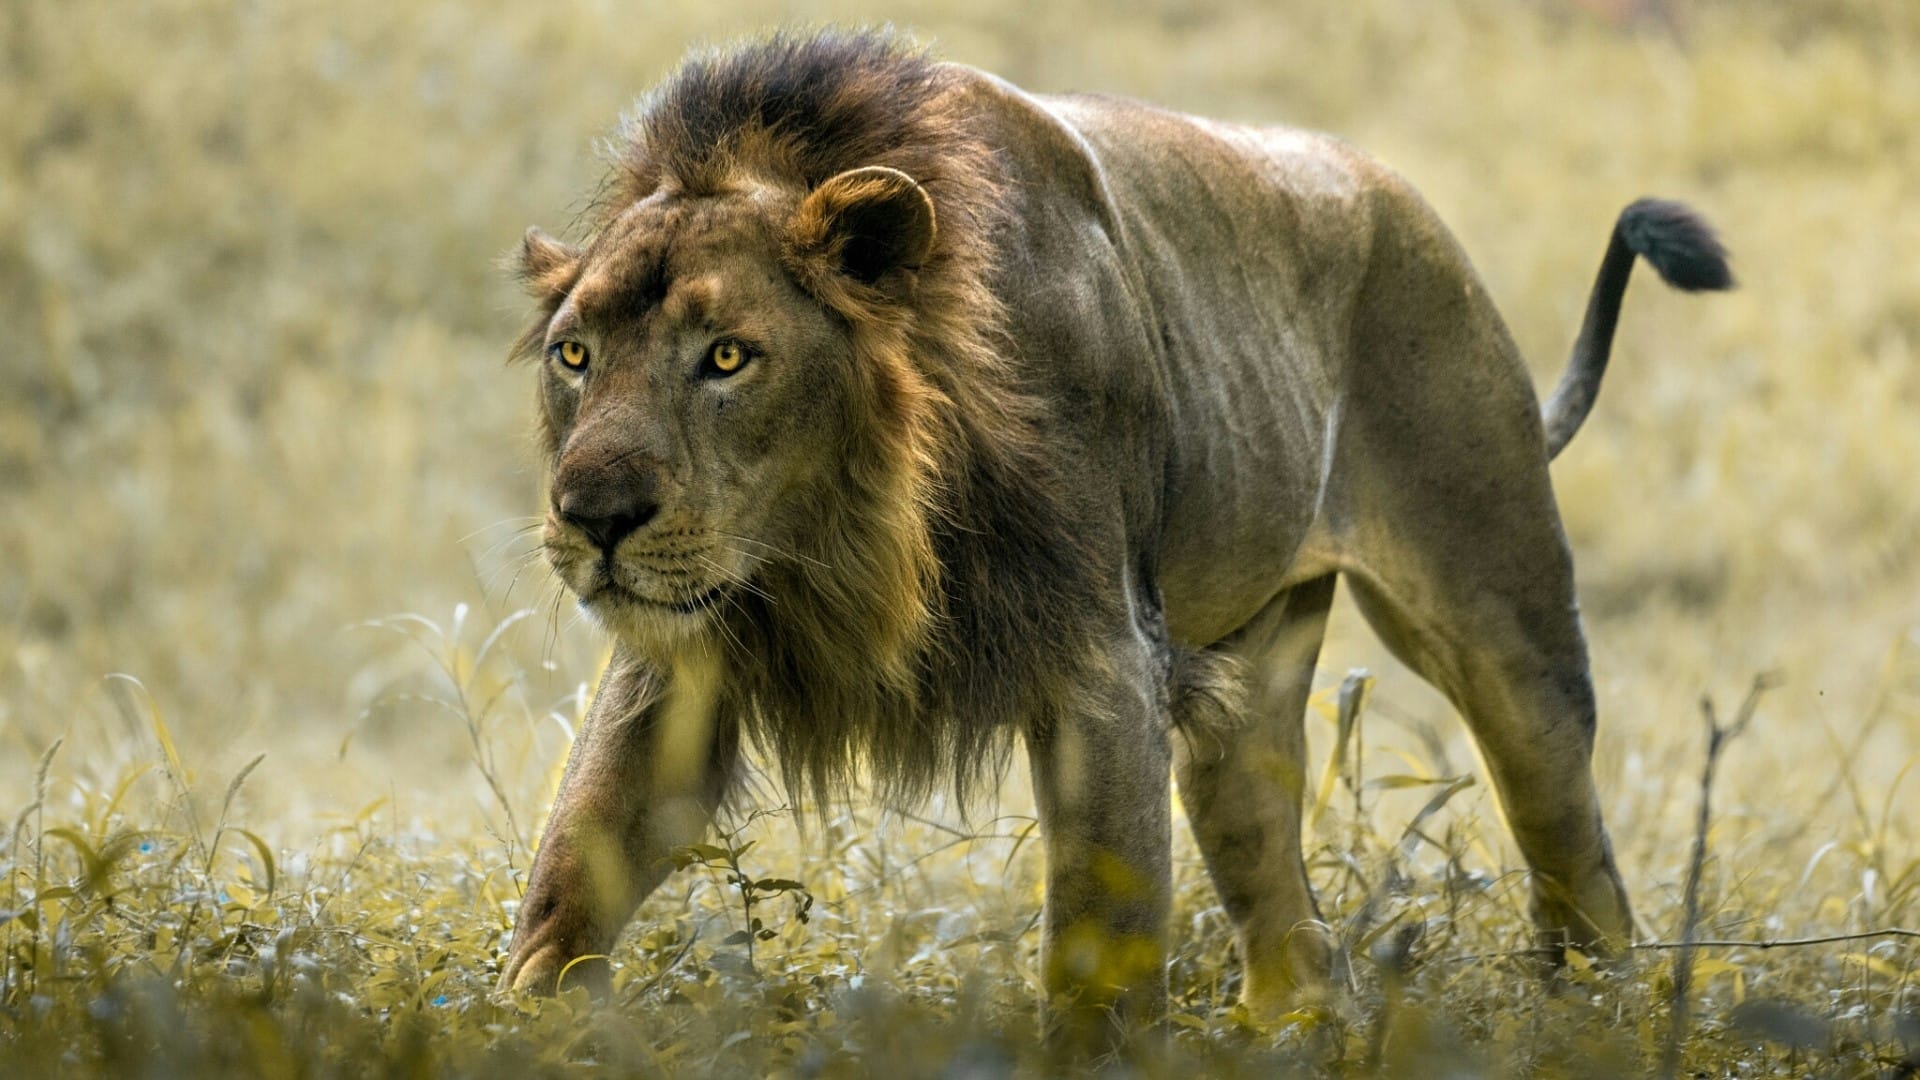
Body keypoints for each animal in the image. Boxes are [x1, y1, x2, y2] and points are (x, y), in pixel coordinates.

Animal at [496, 29, 1732, 1047]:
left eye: (727, 357)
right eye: (575, 355)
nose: (594, 518)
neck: (841, 544)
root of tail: (1403, 199)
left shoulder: (1101, 657)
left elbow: (1100, 927)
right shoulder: (681, 661)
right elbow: (575, 862)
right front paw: (515, 1024)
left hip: (1508, 630)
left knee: (1579, 858)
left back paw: (1598, 1019)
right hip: (1247, 694)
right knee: (1292, 918)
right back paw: (1291, 1028)